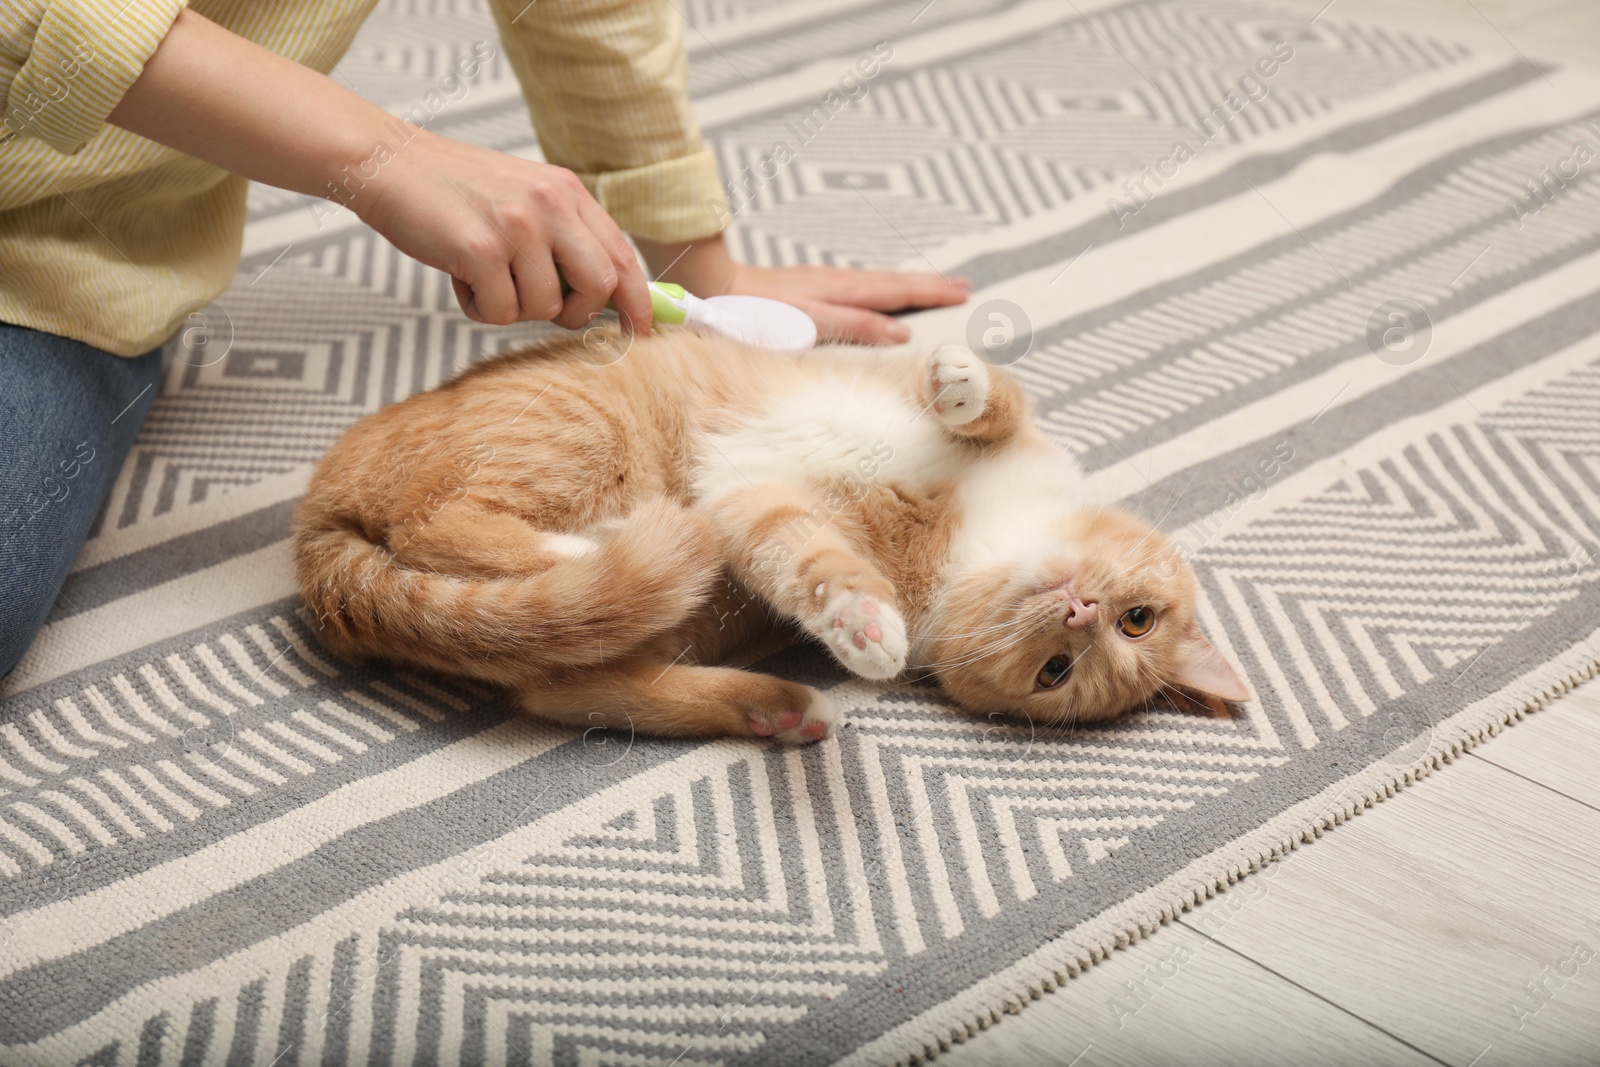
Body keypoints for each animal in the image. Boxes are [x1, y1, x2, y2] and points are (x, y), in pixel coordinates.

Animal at [297, 331, 1248, 742]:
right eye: (1139, 617)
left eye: (1060, 671)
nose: (1079, 609)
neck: (964, 532)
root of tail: (319, 516)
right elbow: (995, 398)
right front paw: (962, 378)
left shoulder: (753, 508)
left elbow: (812, 565)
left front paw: (862, 629)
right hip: (574, 427)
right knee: (435, 521)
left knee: (569, 682)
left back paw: (783, 707)